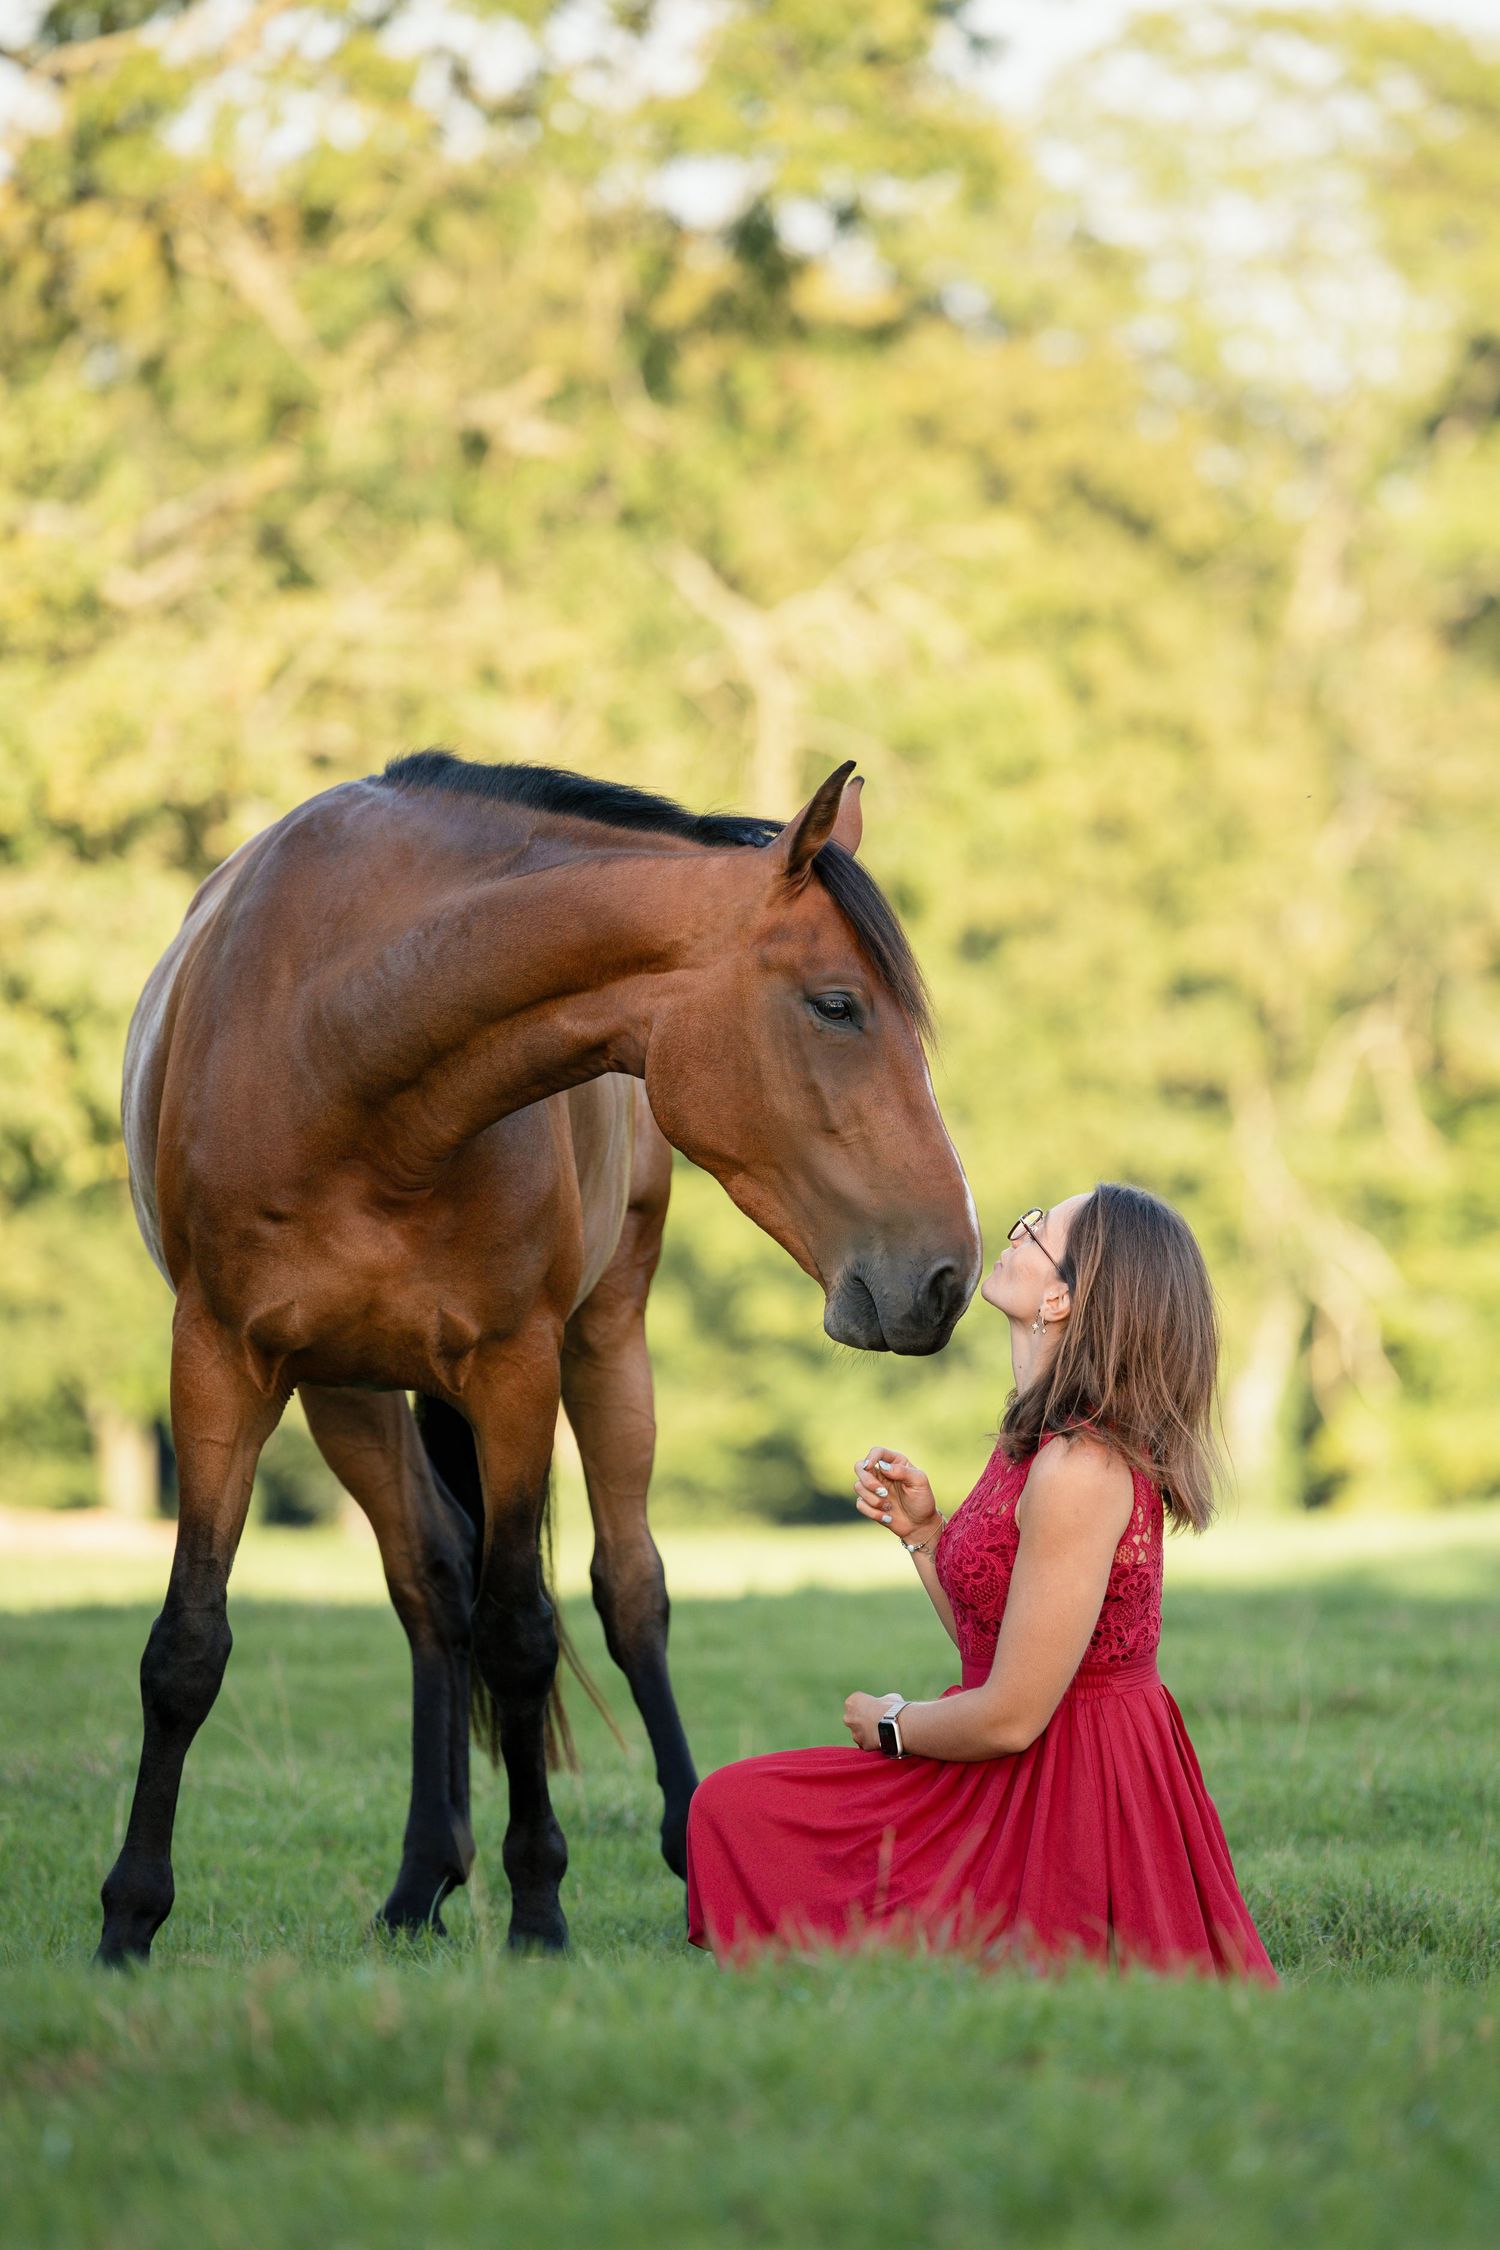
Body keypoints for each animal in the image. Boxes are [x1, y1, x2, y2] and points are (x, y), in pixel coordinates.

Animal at [99, 755, 980, 1964]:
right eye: (836, 1005)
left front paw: (538, 1908)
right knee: (430, 1586)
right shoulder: (222, 1360)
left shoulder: (513, 1368)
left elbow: (523, 1630)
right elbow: (186, 1645)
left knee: (629, 1588)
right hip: (348, 1392)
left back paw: (676, 1835)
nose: (949, 1274)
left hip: (605, 1342)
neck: (344, 1037)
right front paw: (129, 1917)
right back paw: (420, 1878)